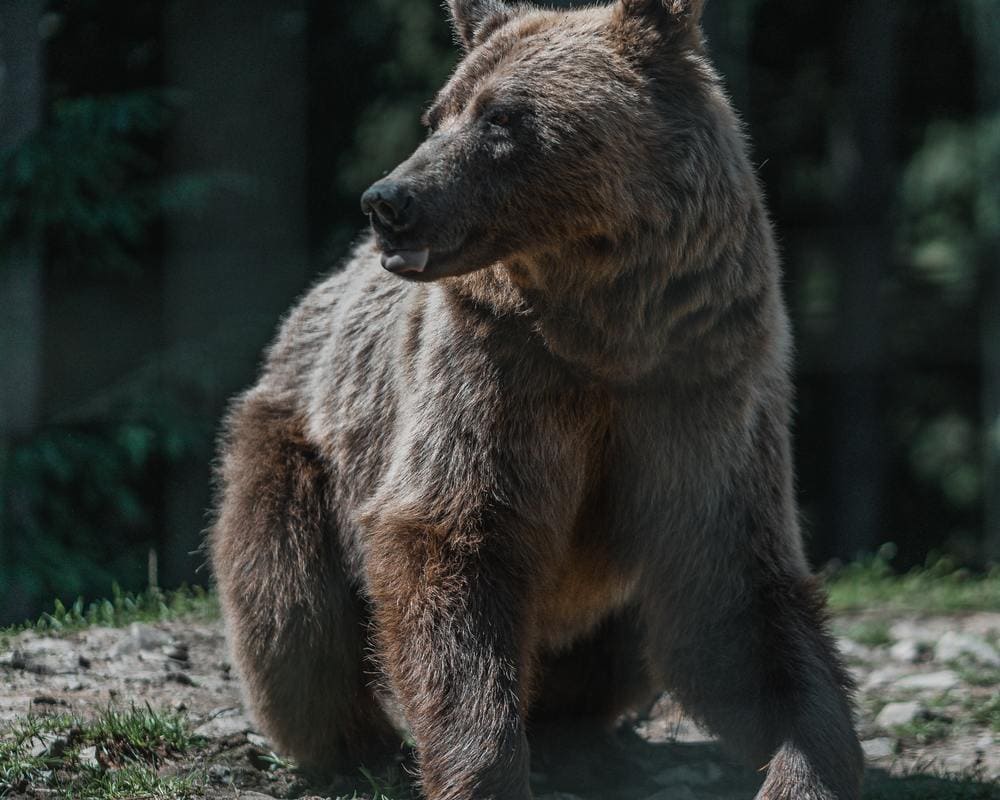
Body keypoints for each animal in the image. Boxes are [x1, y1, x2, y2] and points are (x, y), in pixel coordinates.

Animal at [213, 1, 868, 800]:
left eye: (502, 117)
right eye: (440, 112)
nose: (389, 202)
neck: (605, 331)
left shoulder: (701, 384)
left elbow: (737, 599)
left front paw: (805, 767)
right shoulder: (495, 374)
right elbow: (452, 541)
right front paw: (482, 770)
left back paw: (580, 737)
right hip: (301, 440)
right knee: (291, 605)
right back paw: (359, 747)